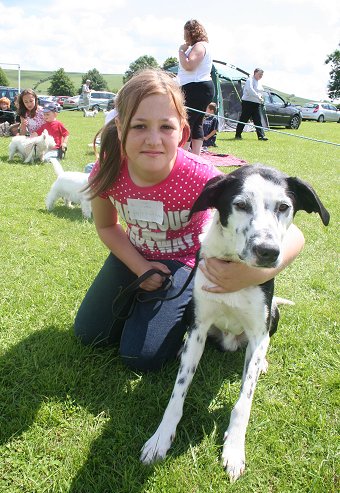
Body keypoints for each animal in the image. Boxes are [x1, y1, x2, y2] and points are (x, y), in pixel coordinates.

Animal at [141, 164, 330, 480]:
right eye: (241, 205)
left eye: (284, 207)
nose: (268, 251)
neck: (234, 265)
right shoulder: (199, 326)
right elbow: (178, 392)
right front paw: (160, 438)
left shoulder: (257, 330)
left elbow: (244, 402)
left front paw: (233, 448)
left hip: (272, 315)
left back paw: (263, 360)